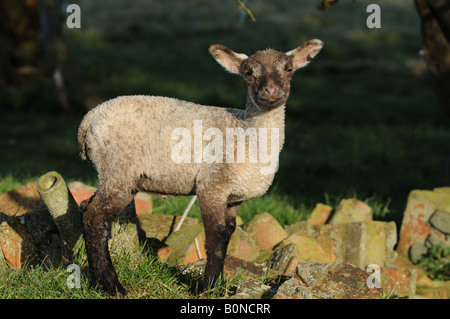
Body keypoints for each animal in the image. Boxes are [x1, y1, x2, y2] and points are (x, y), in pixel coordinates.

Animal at [78, 40, 324, 298]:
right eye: (248, 73)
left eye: (289, 69)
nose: (271, 92)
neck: (246, 134)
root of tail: (90, 117)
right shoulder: (211, 186)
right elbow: (215, 237)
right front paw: (208, 288)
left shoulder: (234, 197)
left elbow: (227, 235)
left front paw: (219, 285)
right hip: (118, 169)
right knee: (95, 218)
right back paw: (113, 286)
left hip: (111, 173)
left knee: (85, 207)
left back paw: (96, 280)